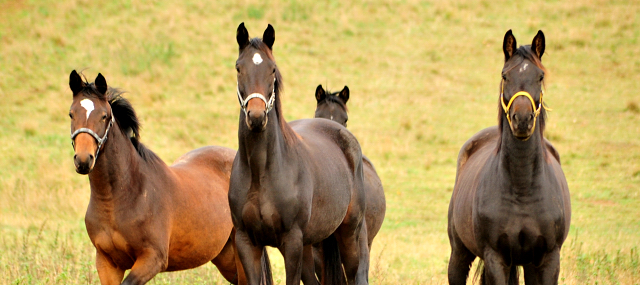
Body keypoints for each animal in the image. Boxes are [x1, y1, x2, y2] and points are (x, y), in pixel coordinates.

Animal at [67, 69, 270, 284]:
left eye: (104, 116)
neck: (119, 198)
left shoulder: (153, 259)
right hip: (226, 257)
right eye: (71, 114)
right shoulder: (107, 262)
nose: (83, 159)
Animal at [230, 22, 370, 284]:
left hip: (349, 235)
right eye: (238, 68)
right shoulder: (246, 241)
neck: (261, 172)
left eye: (273, 69)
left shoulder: (292, 241)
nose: (256, 117)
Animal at [448, 30, 572, 282]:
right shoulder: (496, 258)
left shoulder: (548, 259)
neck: (522, 188)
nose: (522, 120)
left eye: (540, 76)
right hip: (460, 253)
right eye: (505, 76)